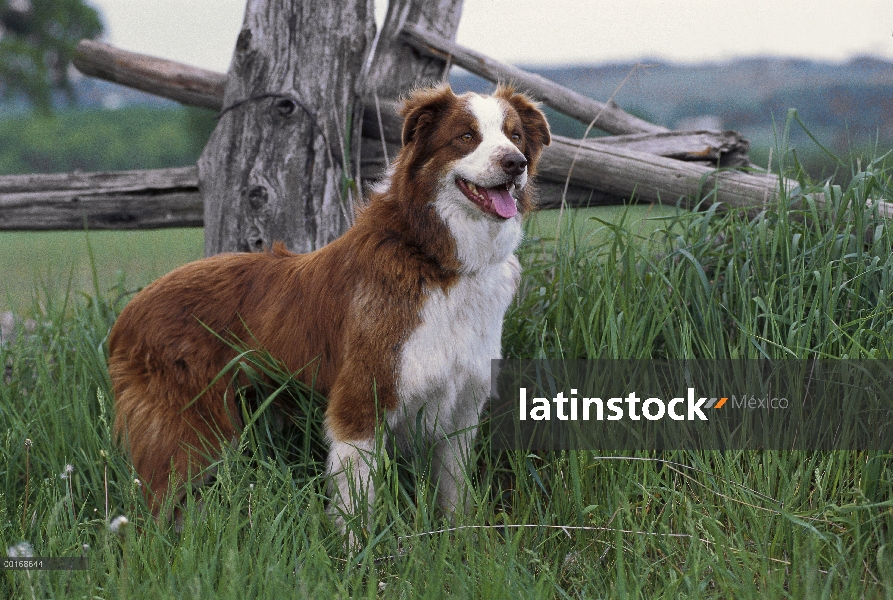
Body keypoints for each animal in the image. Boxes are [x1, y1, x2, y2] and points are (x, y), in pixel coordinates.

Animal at [106, 83, 552, 520]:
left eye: (514, 136)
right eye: (466, 137)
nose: (515, 164)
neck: (436, 257)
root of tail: (127, 313)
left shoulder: (462, 408)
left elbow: (454, 501)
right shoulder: (360, 403)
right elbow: (356, 510)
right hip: (183, 434)